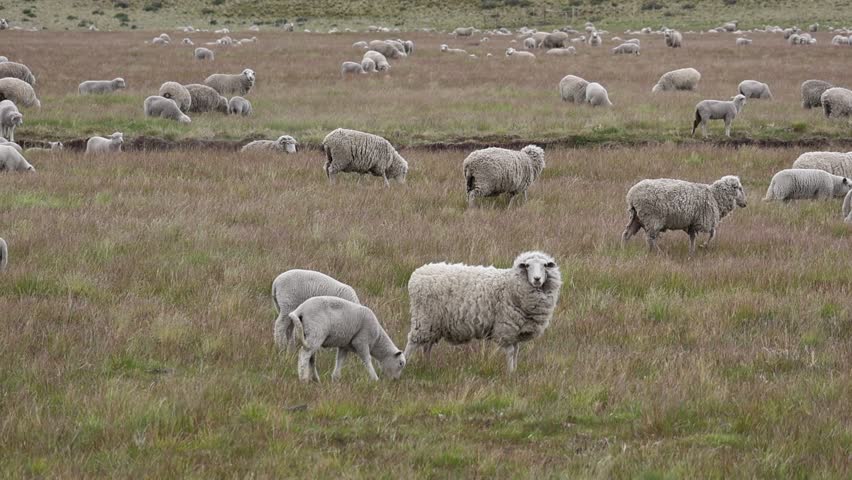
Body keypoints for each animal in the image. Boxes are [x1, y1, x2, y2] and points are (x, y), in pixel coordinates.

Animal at [403, 251, 561, 373]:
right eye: (527, 266)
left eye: (545, 266)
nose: (537, 279)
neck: (510, 284)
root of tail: (417, 274)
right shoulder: (506, 327)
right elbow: (511, 352)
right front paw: (510, 373)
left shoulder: (516, 330)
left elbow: (516, 351)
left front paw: (515, 370)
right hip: (423, 317)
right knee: (412, 342)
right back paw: (404, 364)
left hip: (433, 322)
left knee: (427, 345)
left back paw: (427, 365)